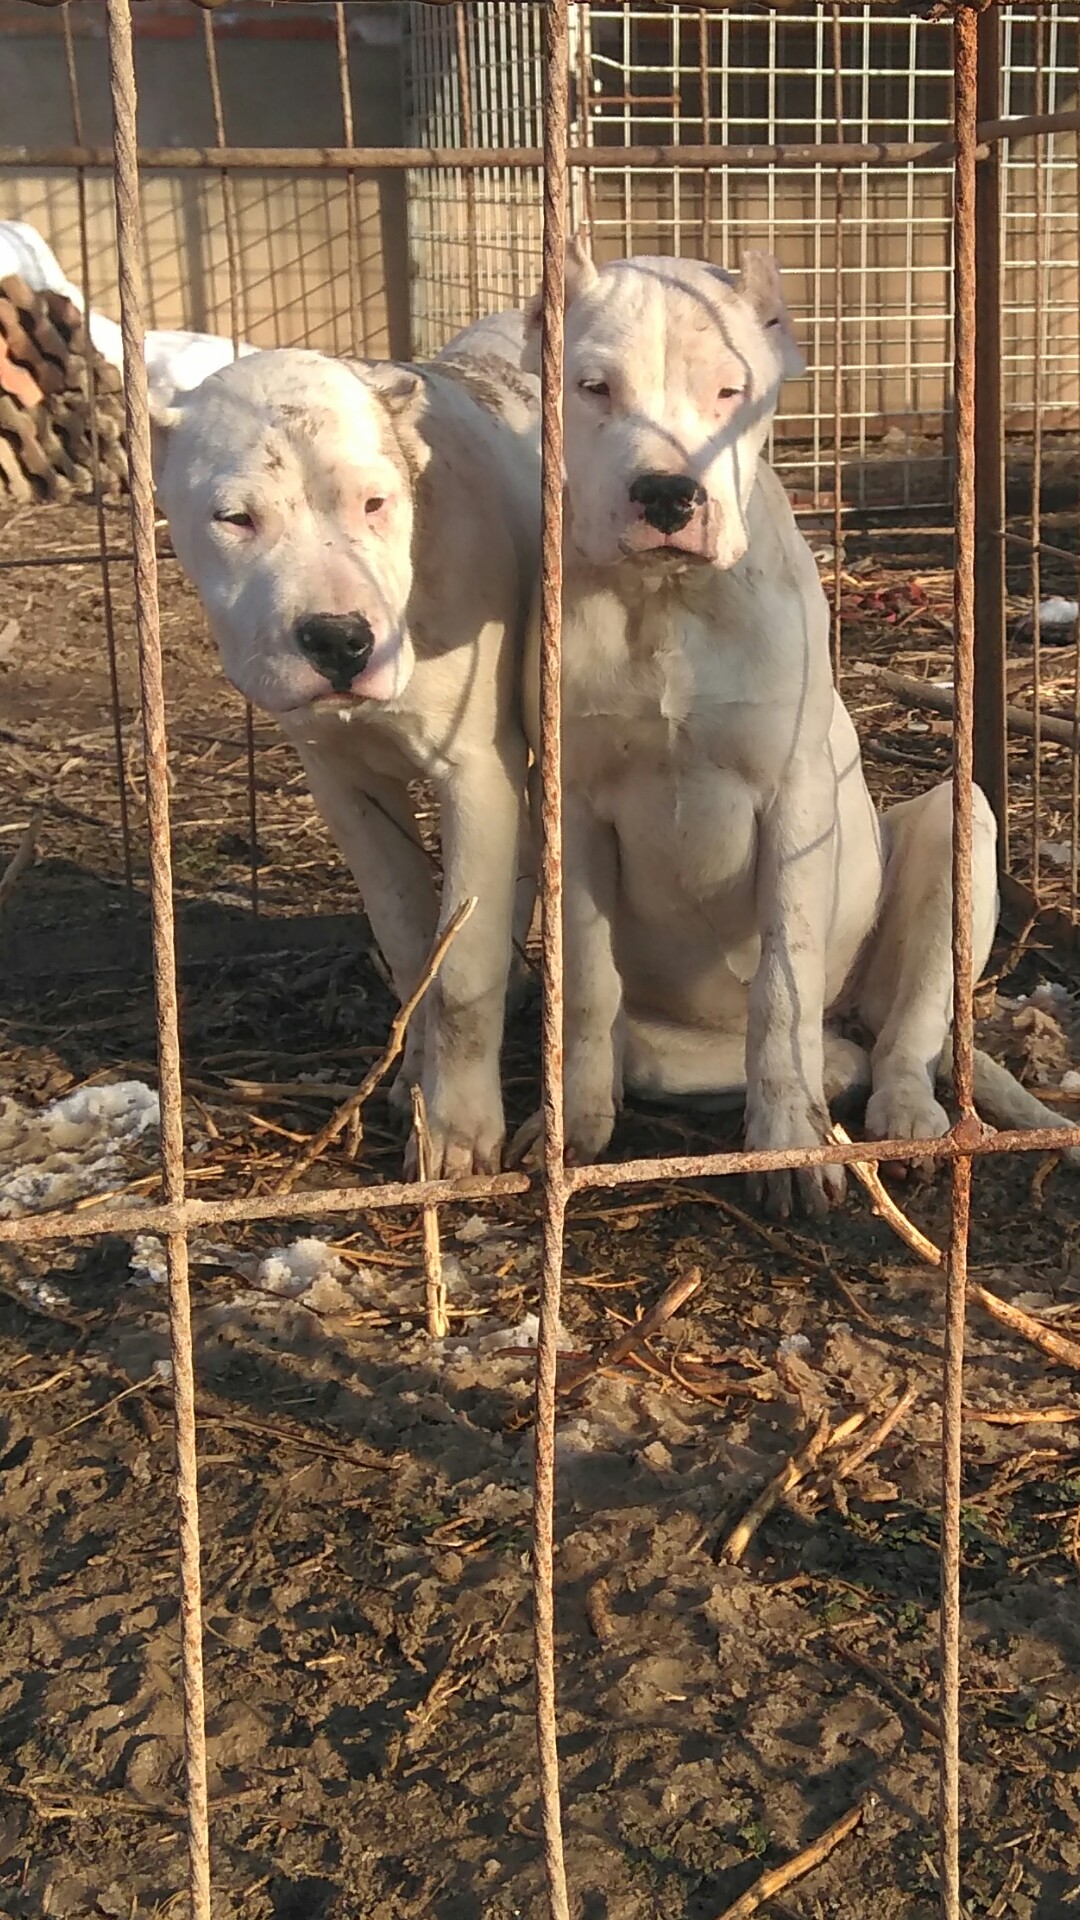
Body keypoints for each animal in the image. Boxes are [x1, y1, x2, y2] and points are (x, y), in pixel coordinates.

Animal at [151, 322, 538, 1175]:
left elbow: (461, 971)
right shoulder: (346, 788)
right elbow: (409, 939)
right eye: (235, 518)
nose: (338, 638)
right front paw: (415, 1080)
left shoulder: (477, 773)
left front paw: (456, 1134)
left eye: (375, 503)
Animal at [515, 240, 1068, 1213]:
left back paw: (907, 1116)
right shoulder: (572, 810)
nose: (668, 493)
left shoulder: (794, 799)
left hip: (959, 826)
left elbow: (781, 979)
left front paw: (786, 1147)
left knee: (904, 1033)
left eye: (729, 392)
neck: (666, 603)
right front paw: (569, 1127)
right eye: (592, 388)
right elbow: (584, 981)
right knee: (775, 1046)